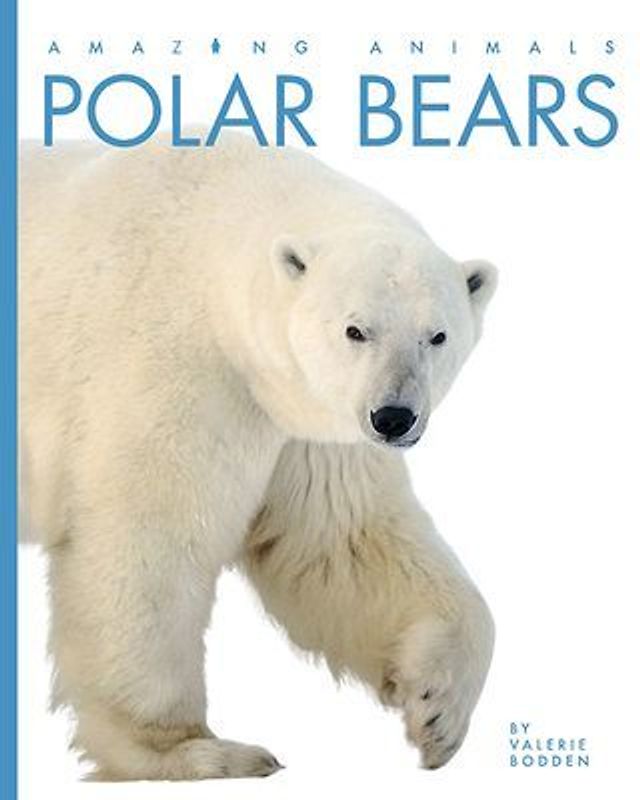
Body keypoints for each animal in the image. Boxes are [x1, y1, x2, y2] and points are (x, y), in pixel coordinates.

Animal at [19, 132, 497, 780]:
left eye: (437, 335)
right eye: (355, 330)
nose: (394, 417)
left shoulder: (302, 421)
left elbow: (343, 540)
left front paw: (438, 711)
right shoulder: (173, 362)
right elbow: (149, 542)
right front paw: (193, 751)